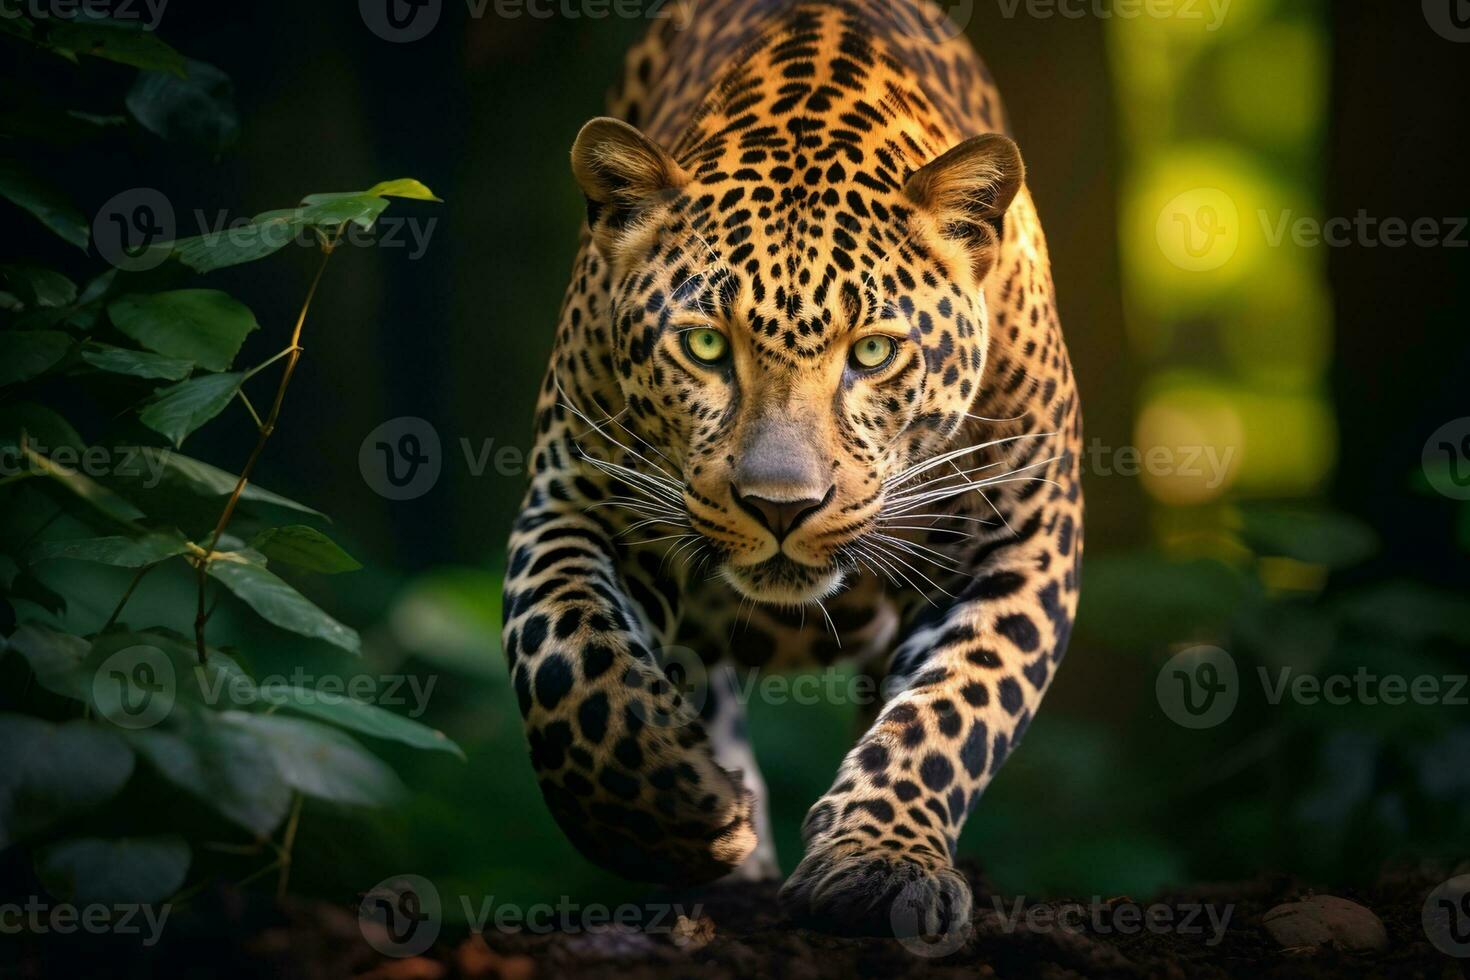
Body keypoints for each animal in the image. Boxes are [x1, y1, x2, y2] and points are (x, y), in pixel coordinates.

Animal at [499, 0, 1087, 940]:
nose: (781, 507)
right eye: (706, 346)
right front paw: (679, 816)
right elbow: (565, 662)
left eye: (874, 352)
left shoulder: (1021, 539)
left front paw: (879, 863)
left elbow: (954, 708)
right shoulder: (576, 500)